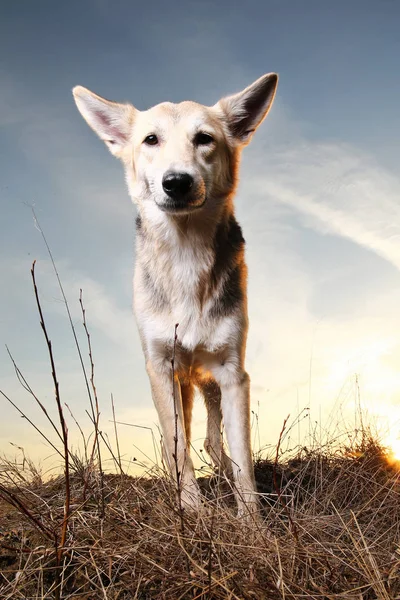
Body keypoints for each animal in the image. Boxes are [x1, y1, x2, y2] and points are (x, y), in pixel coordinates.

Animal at [72, 74, 278, 516]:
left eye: (204, 139)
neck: (186, 257)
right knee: (181, 441)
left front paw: (252, 523)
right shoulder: (162, 368)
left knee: (213, 442)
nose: (177, 181)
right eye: (151, 140)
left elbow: (242, 458)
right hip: (178, 383)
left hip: (210, 383)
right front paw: (193, 513)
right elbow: (178, 449)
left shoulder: (234, 374)